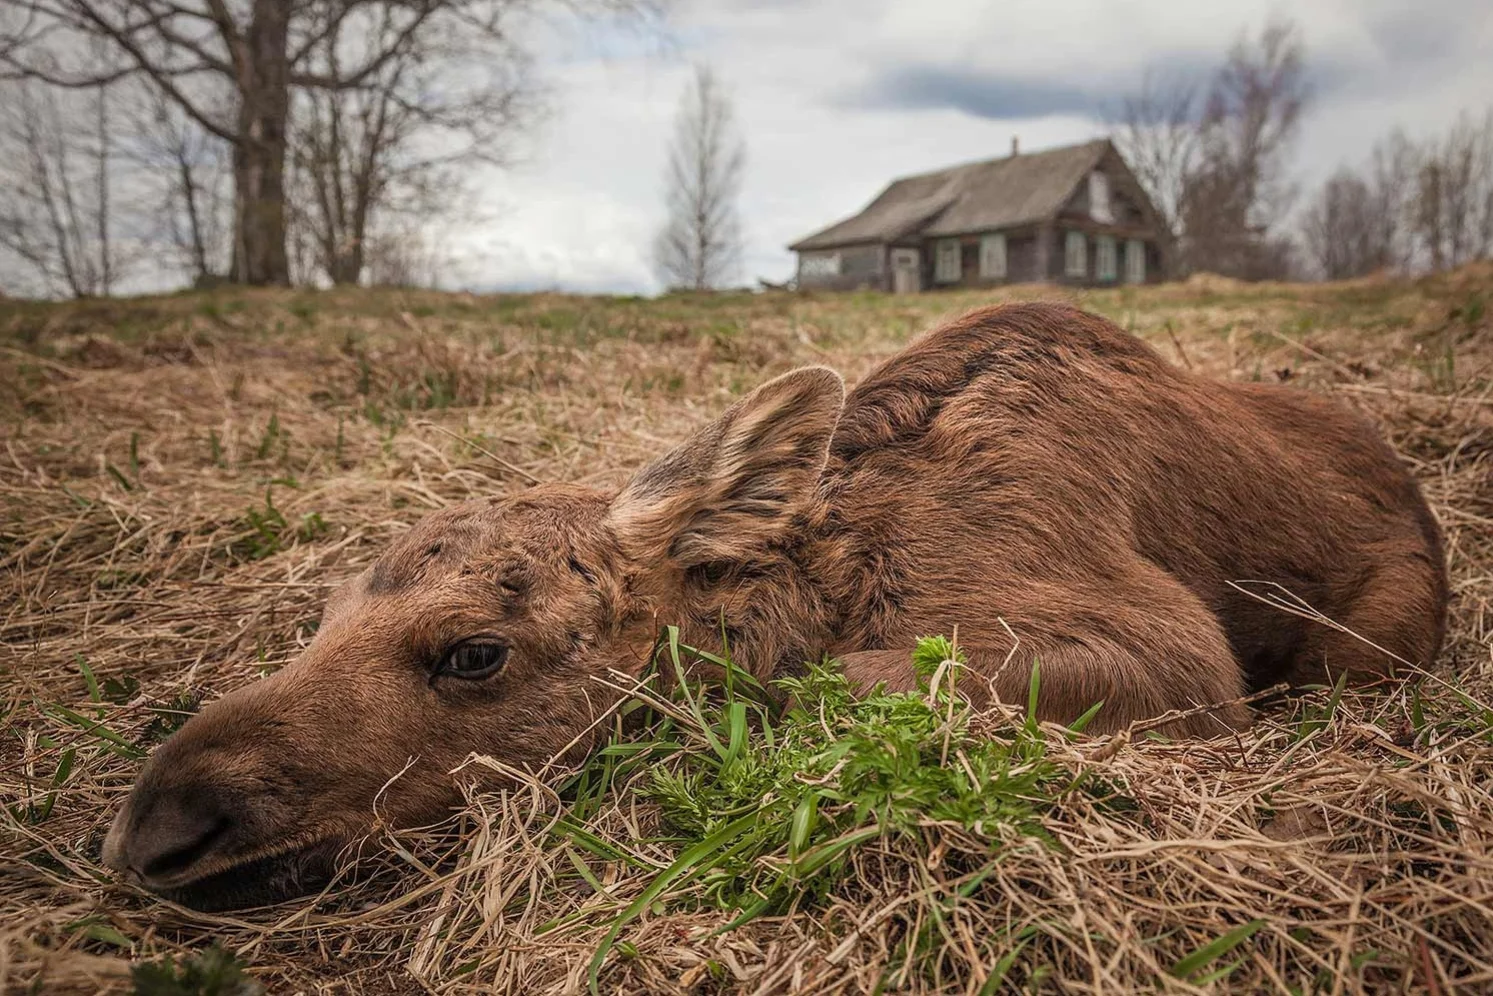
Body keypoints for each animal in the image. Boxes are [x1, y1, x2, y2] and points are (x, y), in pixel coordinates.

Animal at [102, 304, 1445, 913]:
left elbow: (827, 693)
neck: (842, 571)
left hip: (1374, 638)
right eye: (323, 612)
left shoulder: (1171, 653)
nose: (163, 828)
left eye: (475, 652)